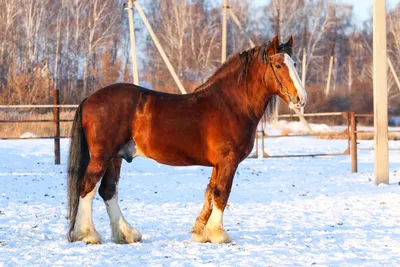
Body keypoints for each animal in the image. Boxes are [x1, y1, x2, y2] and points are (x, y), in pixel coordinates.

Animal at [67, 35, 308, 245]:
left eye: (295, 63)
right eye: (279, 66)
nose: (301, 98)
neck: (231, 104)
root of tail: (89, 99)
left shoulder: (218, 164)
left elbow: (210, 192)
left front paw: (200, 231)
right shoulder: (228, 161)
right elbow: (222, 193)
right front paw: (218, 234)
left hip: (115, 158)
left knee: (108, 191)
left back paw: (126, 234)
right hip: (102, 156)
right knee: (87, 187)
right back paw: (88, 234)